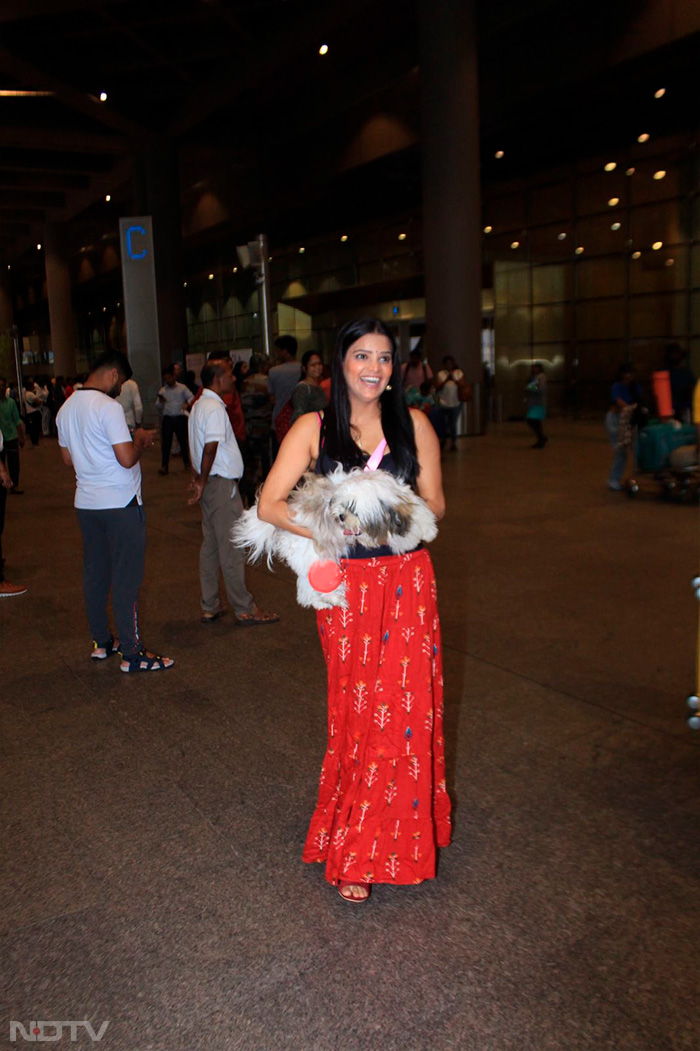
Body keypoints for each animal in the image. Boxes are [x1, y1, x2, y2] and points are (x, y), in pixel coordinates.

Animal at [231, 466, 433, 609]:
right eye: (342, 504)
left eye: (353, 508)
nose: (341, 516)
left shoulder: (400, 494)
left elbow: (418, 507)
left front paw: (428, 529)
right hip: (317, 556)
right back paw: (334, 599)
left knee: (306, 588)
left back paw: (319, 603)